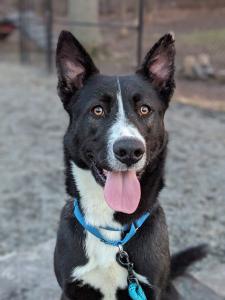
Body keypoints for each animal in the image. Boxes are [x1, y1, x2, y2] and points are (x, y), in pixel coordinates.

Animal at [53, 31, 207, 300]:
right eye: (98, 110)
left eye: (144, 109)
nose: (129, 151)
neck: (112, 232)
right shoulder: (70, 290)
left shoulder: (151, 289)